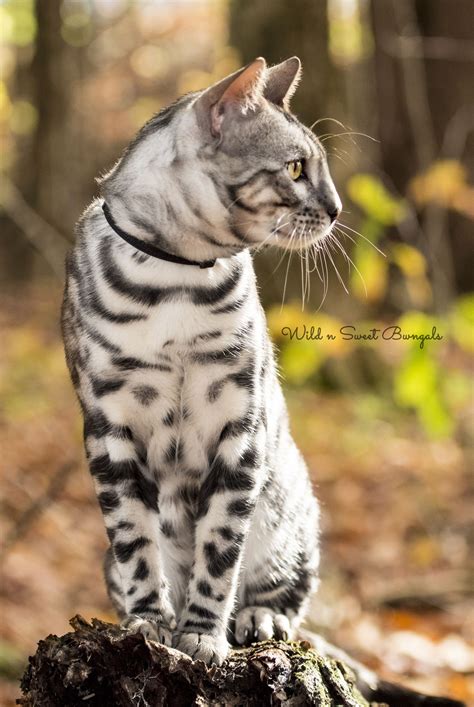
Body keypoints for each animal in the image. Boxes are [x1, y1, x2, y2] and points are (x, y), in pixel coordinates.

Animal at [62, 56, 340, 668]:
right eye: (295, 167)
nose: (337, 209)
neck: (176, 282)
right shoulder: (108, 431)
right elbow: (135, 541)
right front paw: (150, 623)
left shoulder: (241, 427)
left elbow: (219, 553)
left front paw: (203, 635)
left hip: (291, 512)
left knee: (285, 590)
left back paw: (259, 618)